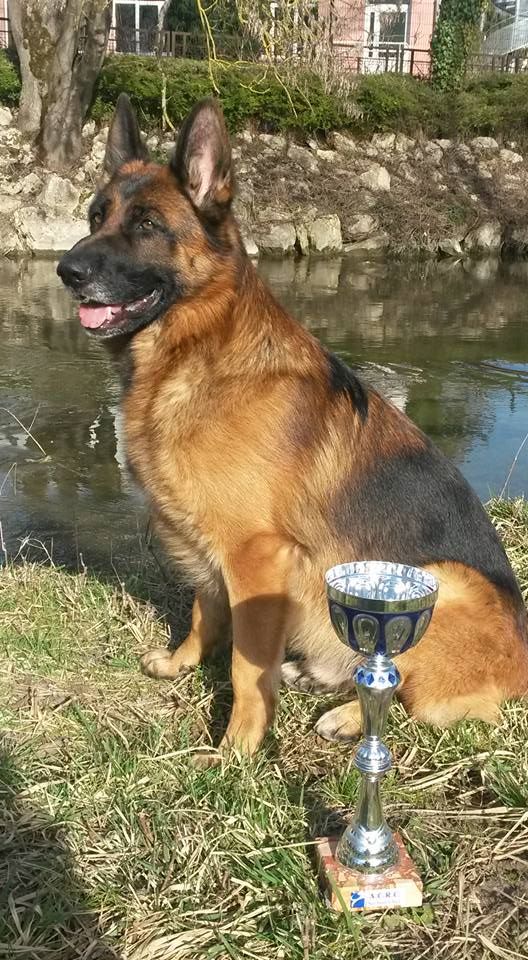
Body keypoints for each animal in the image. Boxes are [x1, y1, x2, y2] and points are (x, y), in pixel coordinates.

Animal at [57, 95, 528, 756]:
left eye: (147, 225)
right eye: (97, 216)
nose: (66, 270)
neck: (199, 352)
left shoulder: (256, 557)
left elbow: (244, 666)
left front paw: (237, 747)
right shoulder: (210, 546)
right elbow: (204, 611)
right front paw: (180, 664)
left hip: (440, 584)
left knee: (415, 696)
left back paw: (350, 716)